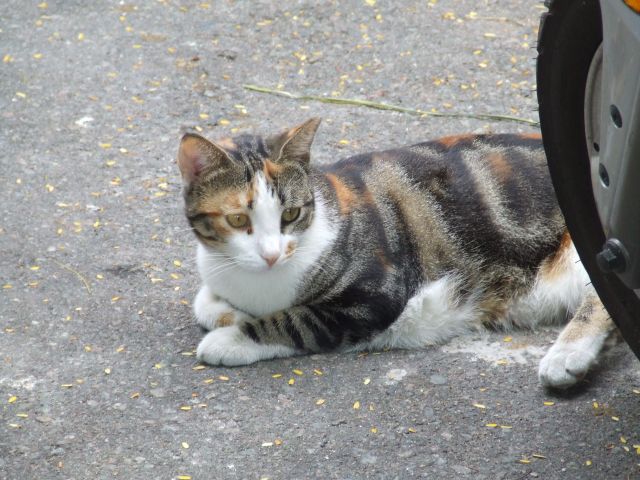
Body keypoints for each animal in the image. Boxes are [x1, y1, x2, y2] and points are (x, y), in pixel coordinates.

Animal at [176, 118, 616, 389]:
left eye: (291, 214)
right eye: (237, 219)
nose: (270, 254)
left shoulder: (373, 297)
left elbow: (294, 321)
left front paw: (229, 338)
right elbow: (205, 301)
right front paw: (229, 312)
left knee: (601, 300)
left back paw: (567, 355)